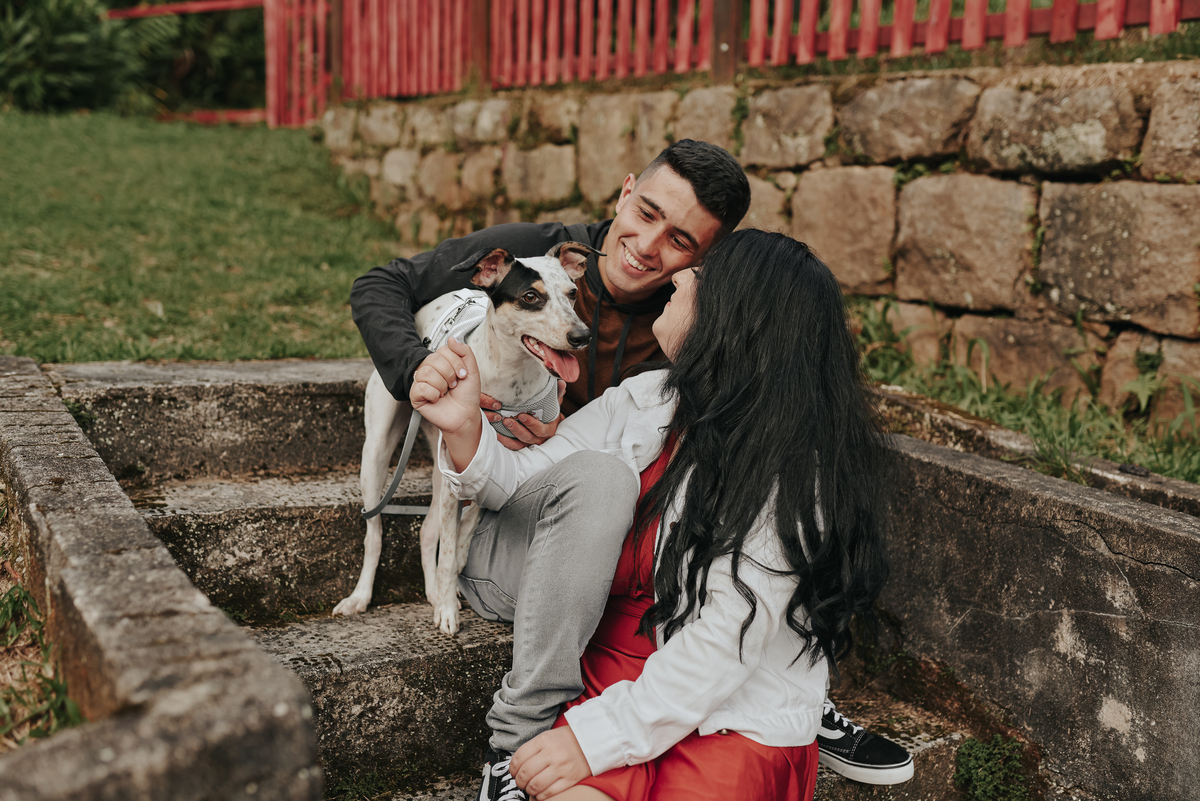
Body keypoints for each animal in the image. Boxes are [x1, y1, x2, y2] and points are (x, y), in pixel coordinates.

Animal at [333, 242, 594, 635]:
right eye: (530, 297)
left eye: (572, 293)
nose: (581, 336)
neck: (511, 383)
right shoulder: (455, 472)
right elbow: (449, 547)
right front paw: (447, 612)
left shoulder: (487, 465)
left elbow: (464, 533)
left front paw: (448, 589)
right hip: (376, 454)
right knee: (374, 532)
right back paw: (361, 597)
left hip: (440, 468)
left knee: (428, 531)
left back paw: (432, 591)